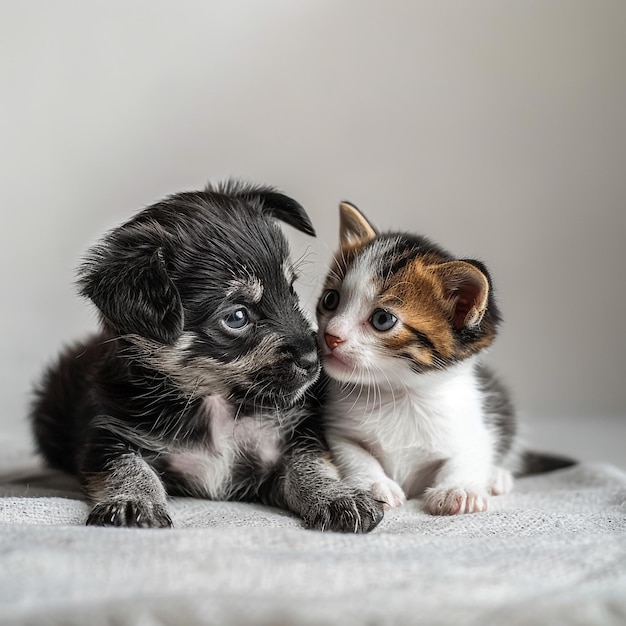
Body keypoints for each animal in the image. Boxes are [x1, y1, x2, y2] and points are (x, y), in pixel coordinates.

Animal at [31, 180, 382, 532]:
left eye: (290, 291)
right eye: (237, 317)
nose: (313, 360)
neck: (214, 401)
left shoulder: (290, 440)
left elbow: (310, 463)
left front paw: (337, 495)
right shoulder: (109, 436)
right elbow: (126, 466)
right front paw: (132, 502)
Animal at [314, 202, 572, 516]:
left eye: (382, 319)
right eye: (330, 300)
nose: (330, 335)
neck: (399, 394)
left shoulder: (477, 423)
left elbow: (472, 452)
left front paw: (457, 489)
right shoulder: (336, 429)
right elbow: (354, 453)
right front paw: (375, 485)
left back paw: (497, 477)